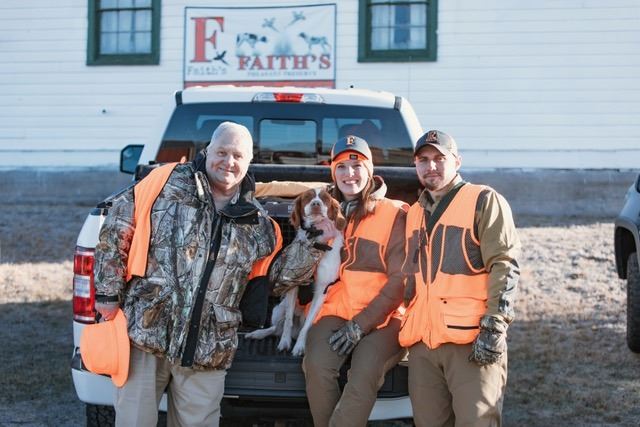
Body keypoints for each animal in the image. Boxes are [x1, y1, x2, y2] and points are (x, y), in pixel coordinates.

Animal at [245, 187, 345, 356]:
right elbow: (288, 321)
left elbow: (307, 325)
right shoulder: (292, 285)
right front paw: (284, 343)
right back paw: (258, 333)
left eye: (325, 198)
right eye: (307, 197)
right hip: (278, 310)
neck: (315, 242)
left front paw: (299, 346)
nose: (316, 204)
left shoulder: (321, 291)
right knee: (276, 327)